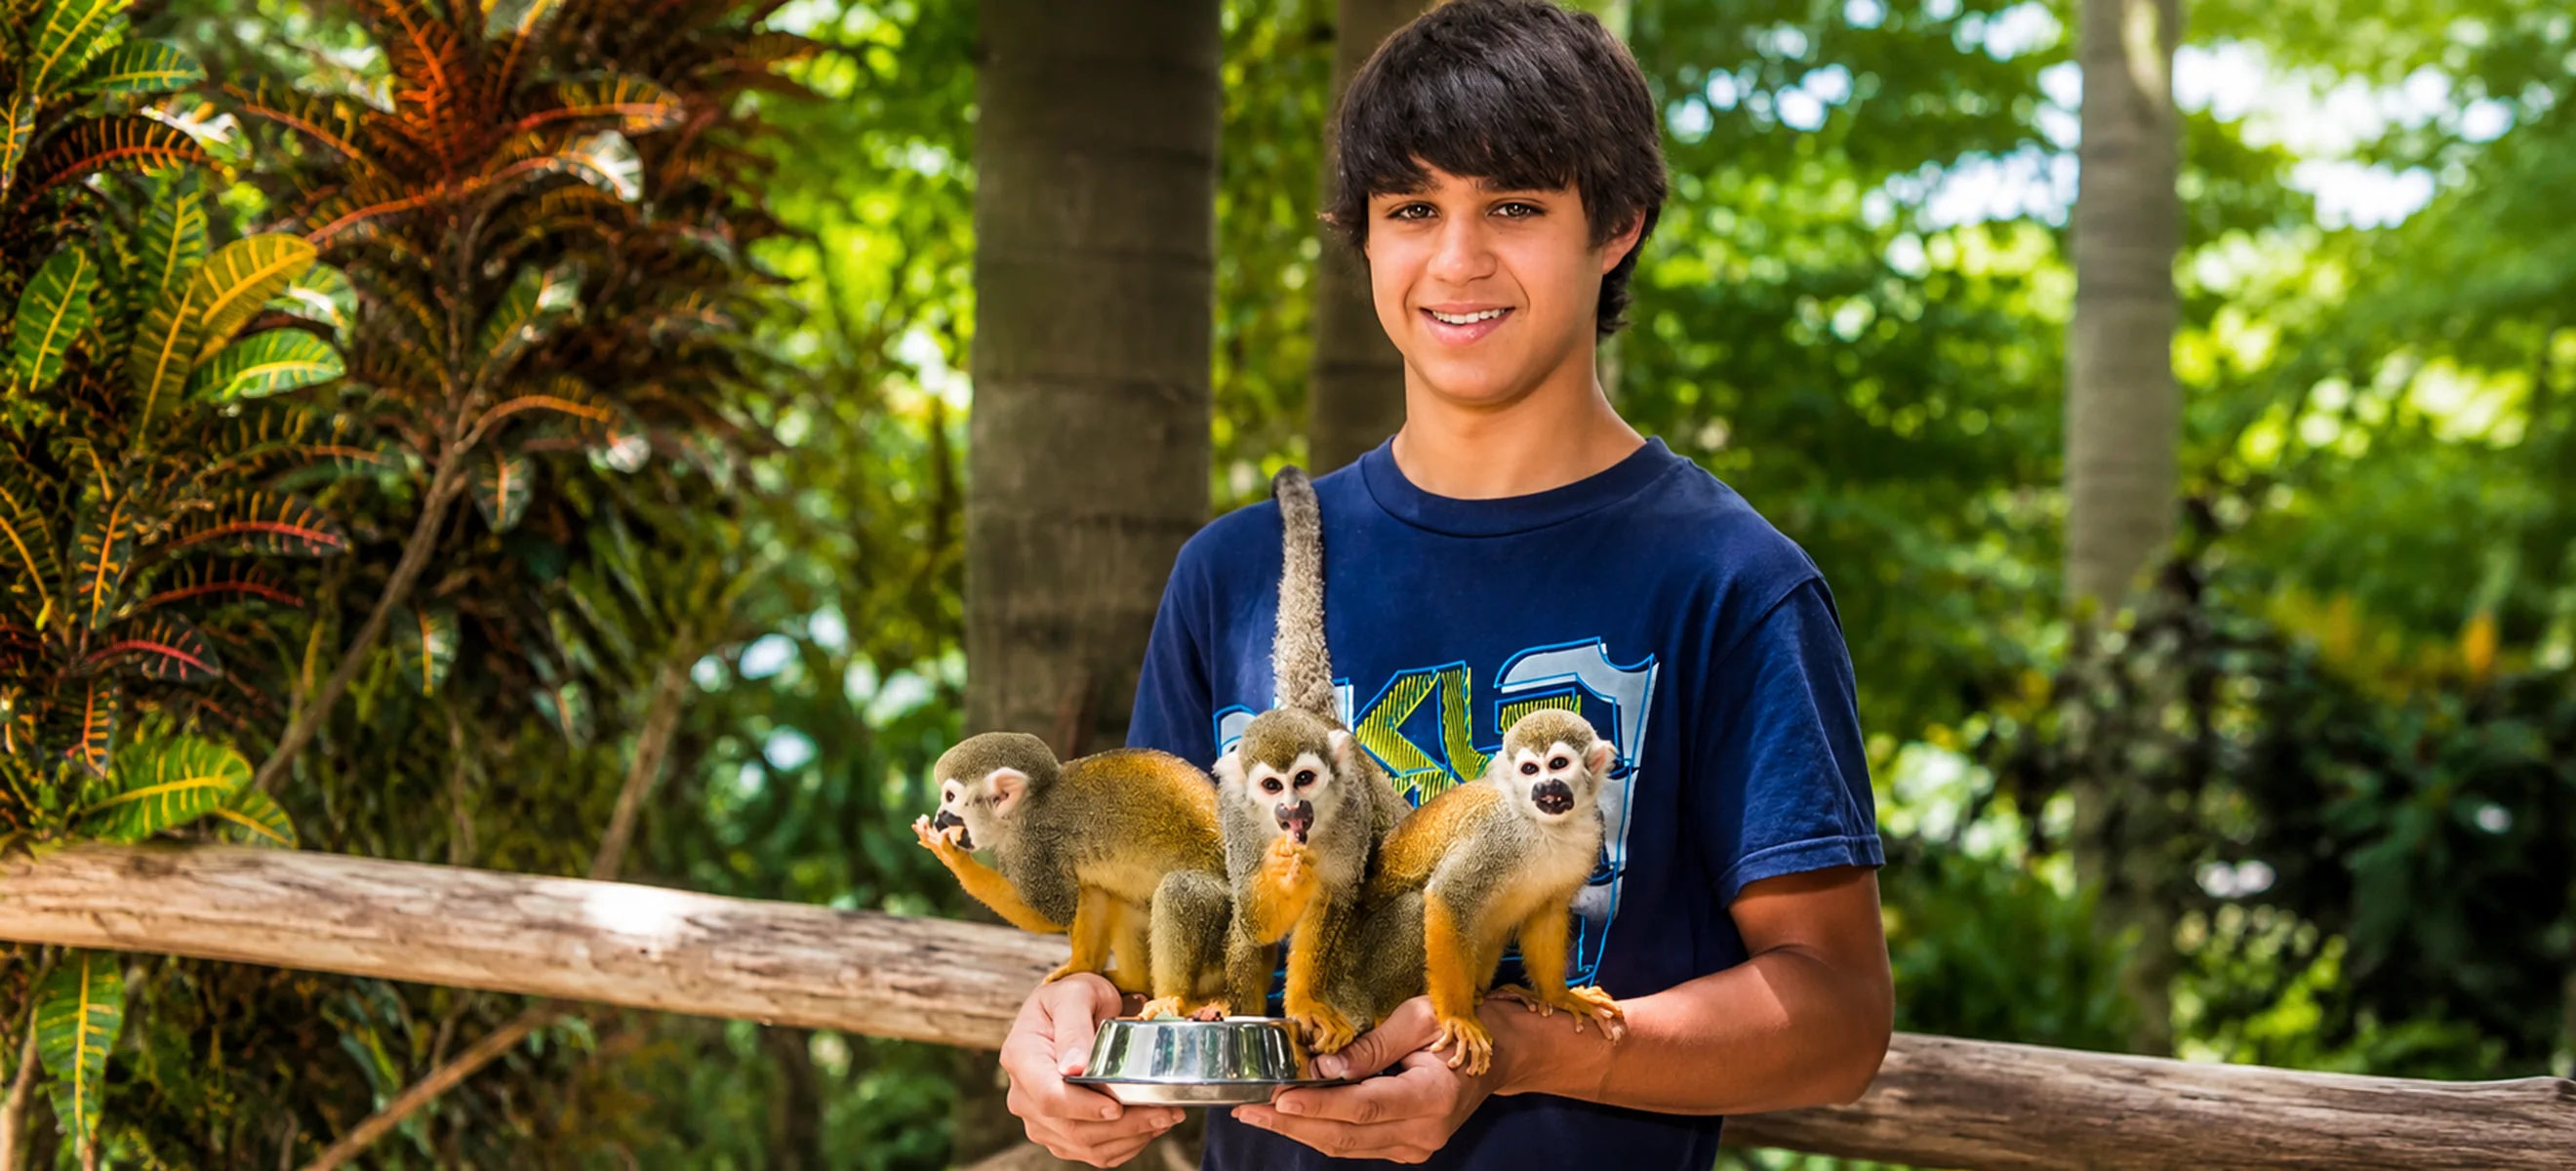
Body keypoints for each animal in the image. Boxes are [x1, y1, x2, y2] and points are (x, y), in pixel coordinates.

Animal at [912, 732, 1230, 1016]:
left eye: (950, 797)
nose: (939, 818)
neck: (1029, 806)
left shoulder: (1032, 845)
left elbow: (1054, 914)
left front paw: (953, 858)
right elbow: (1087, 892)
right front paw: (1082, 966)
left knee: (1181, 890)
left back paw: (1174, 999)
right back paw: (1129, 979)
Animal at [1208, 465, 1413, 1053]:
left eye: (1304, 779)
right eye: (1272, 787)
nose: (1292, 810)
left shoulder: (1352, 812)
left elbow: (1336, 901)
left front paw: (1306, 1005)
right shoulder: (1236, 815)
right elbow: (1253, 916)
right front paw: (1282, 870)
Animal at [1363, 707, 1626, 1076]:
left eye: (1558, 764)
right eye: (1530, 770)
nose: (1545, 786)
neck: (1543, 826)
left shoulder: (1591, 833)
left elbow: (1547, 912)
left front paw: (1561, 996)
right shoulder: (1495, 833)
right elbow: (1449, 897)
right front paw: (1457, 1018)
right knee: (1417, 908)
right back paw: (1389, 1014)